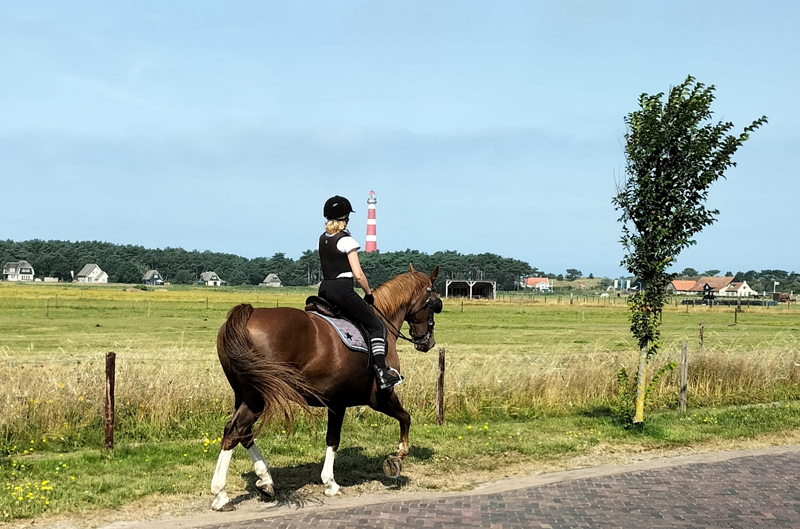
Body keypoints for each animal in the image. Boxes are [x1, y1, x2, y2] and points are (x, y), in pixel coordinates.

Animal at [209, 264, 440, 512]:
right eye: (435, 304)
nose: (428, 342)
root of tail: (249, 313)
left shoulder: (336, 402)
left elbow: (332, 438)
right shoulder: (379, 396)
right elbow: (403, 418)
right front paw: (396, 457)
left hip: (244, 396)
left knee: (242, 433)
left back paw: (265, 480)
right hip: (257, 398)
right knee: (235, 431)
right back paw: (221, 493)